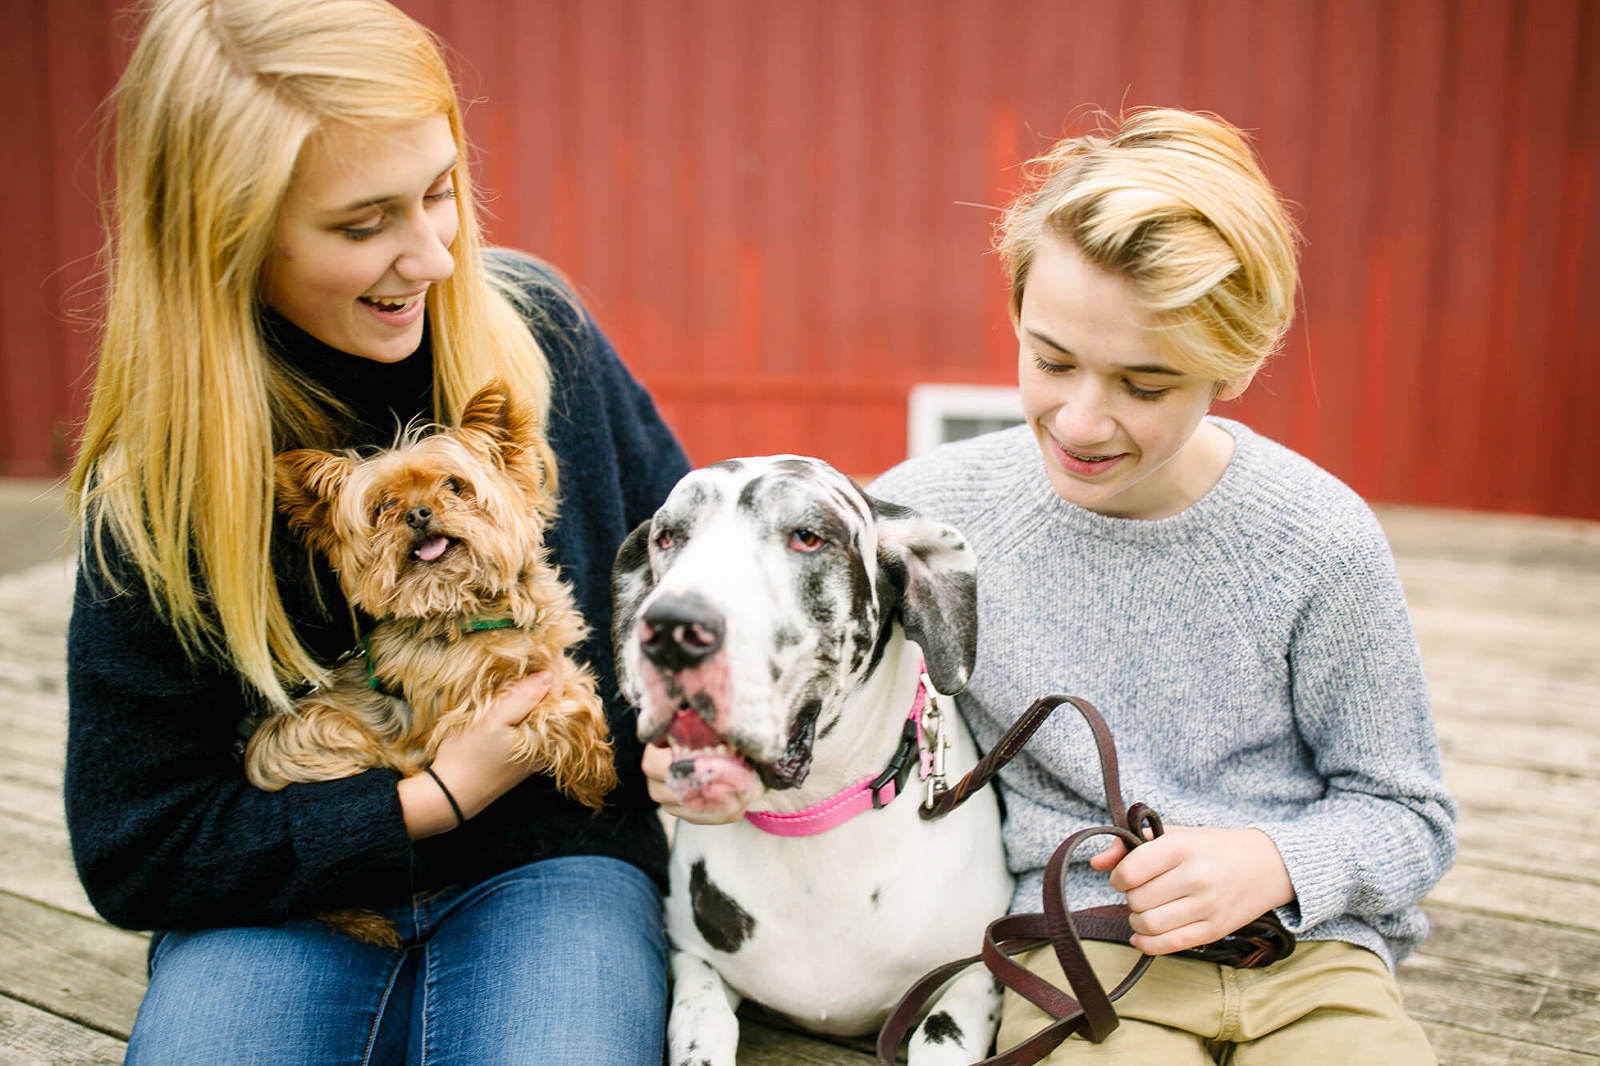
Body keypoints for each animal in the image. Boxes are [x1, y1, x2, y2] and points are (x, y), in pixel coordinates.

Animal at [249, 379, 617, 941]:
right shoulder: (463, 716)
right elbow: (560, 711)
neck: (469, 611)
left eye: (454, 485)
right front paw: (593, 777)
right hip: (330, 742)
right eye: (383, 506)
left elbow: (578, 690)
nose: (417, 514)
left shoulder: (547, 658)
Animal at [611, 454, 1011, 1062]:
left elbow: (942, 1033)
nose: (672, 629)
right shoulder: (690, 955)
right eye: (668, 537)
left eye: (807, 537)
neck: (810, 821)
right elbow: (703, 1019)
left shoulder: (979, 969)